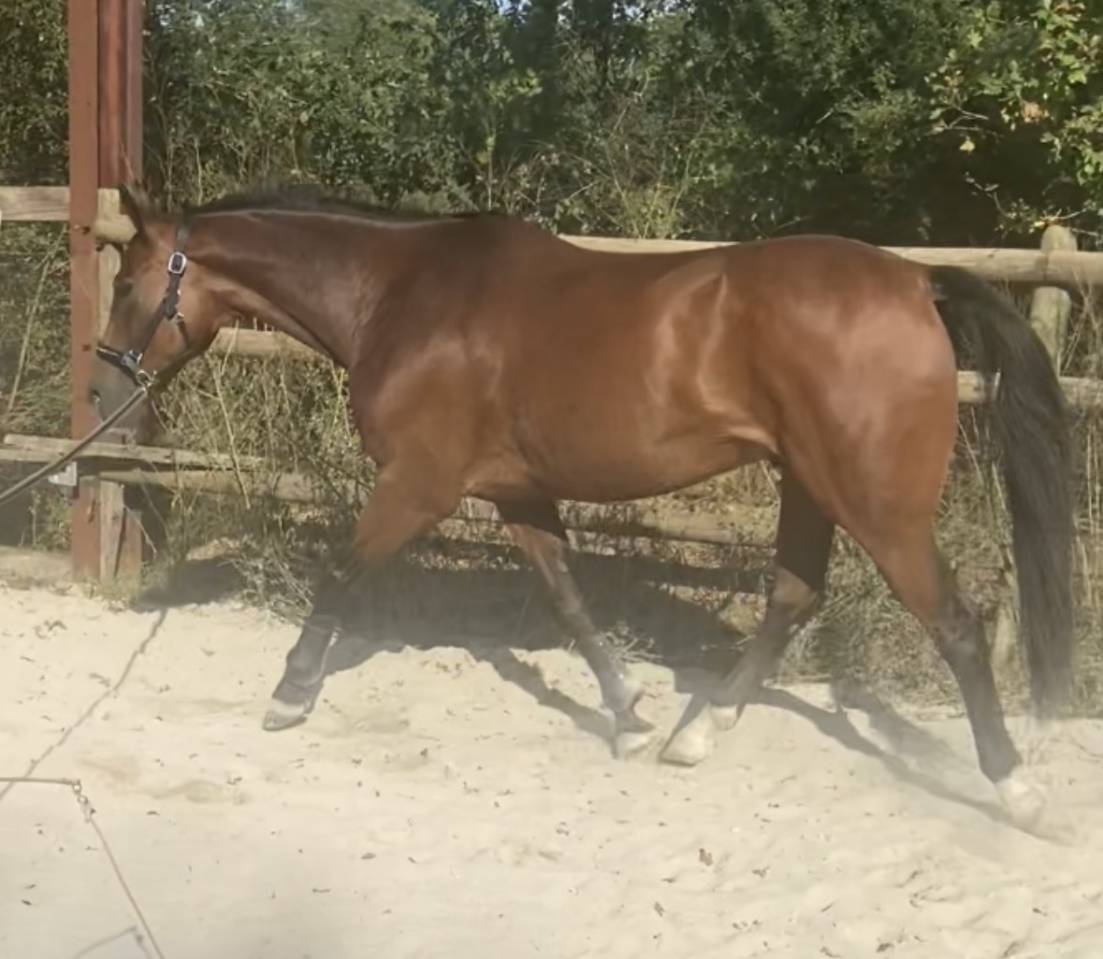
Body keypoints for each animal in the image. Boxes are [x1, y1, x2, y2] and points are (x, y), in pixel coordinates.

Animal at [91, 184, 1074, 831]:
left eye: (129, 283)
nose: (104, 384)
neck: (402, 297)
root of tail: (914, 284)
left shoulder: (418, 484)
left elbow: (340, 568)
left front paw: (290, 693)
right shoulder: (516, 490)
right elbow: (567, 596)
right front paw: (630, 712)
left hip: (876, 503)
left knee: (954, 623)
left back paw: (1018, 789)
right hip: (808, 485)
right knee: (794, 598)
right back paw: (694, 735)